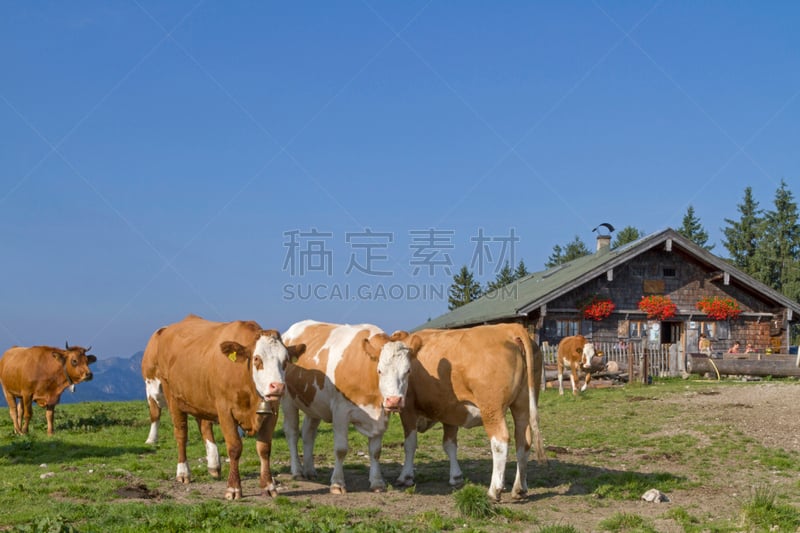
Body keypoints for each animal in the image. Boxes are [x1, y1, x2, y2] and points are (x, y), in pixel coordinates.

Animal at [141, 312, 300, 498]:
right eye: (257, 359)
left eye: (286, 361)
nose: (278, 387)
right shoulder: (225, 411)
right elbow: (235, 447)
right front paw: (233, 488)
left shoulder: (272, 412)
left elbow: (264, 448)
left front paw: (268, 485)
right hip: (173, 396)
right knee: (181, 434)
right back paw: (183, 472)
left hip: (200, 397)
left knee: (204, 426)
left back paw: (213, 465)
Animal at [280, 318, 418, 492]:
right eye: (380, 371)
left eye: (408, 371)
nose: (394, 401)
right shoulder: (341, 411)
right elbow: (341, 449)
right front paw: (337, 483)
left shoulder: (380, 416)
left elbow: (376, 452)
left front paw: (377, 482)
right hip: (288, 400)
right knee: (292, 433)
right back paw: (297, 471)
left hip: (314, 403)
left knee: (308, 434)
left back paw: (310, 470)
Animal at [390, 322, 548, 500]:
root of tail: (509, 327)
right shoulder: (449, 410)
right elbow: (449, 444)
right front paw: (456, 477)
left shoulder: (407, 408)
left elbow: (410, 444)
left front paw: (405, 476)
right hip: (522, 405)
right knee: (523, 441)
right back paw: (519, 488)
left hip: (492, 409)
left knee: (500, 442)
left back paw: (494, 490)